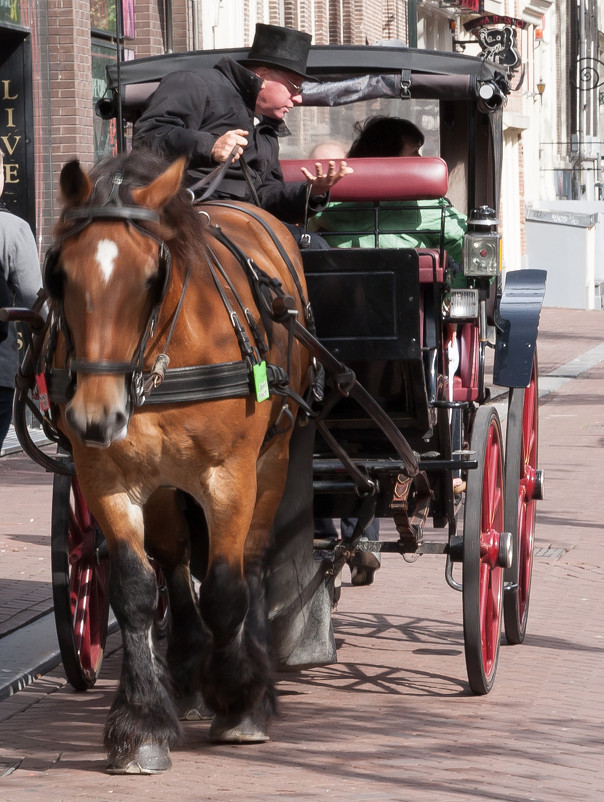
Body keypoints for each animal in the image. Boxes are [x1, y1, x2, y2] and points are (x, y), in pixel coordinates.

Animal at [43, 148, 312, 768]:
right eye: (59, 274)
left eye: (151, 277)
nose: (94, 416)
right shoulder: (105, 476)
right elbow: (136, 589)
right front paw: (141, 724)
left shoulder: (228, 476)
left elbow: (226, 589)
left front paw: (239, 703)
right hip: (164, 485)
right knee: (174, 562)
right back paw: (186, 677)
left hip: (274, 455)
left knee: (251, 561)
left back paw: (249, 678)